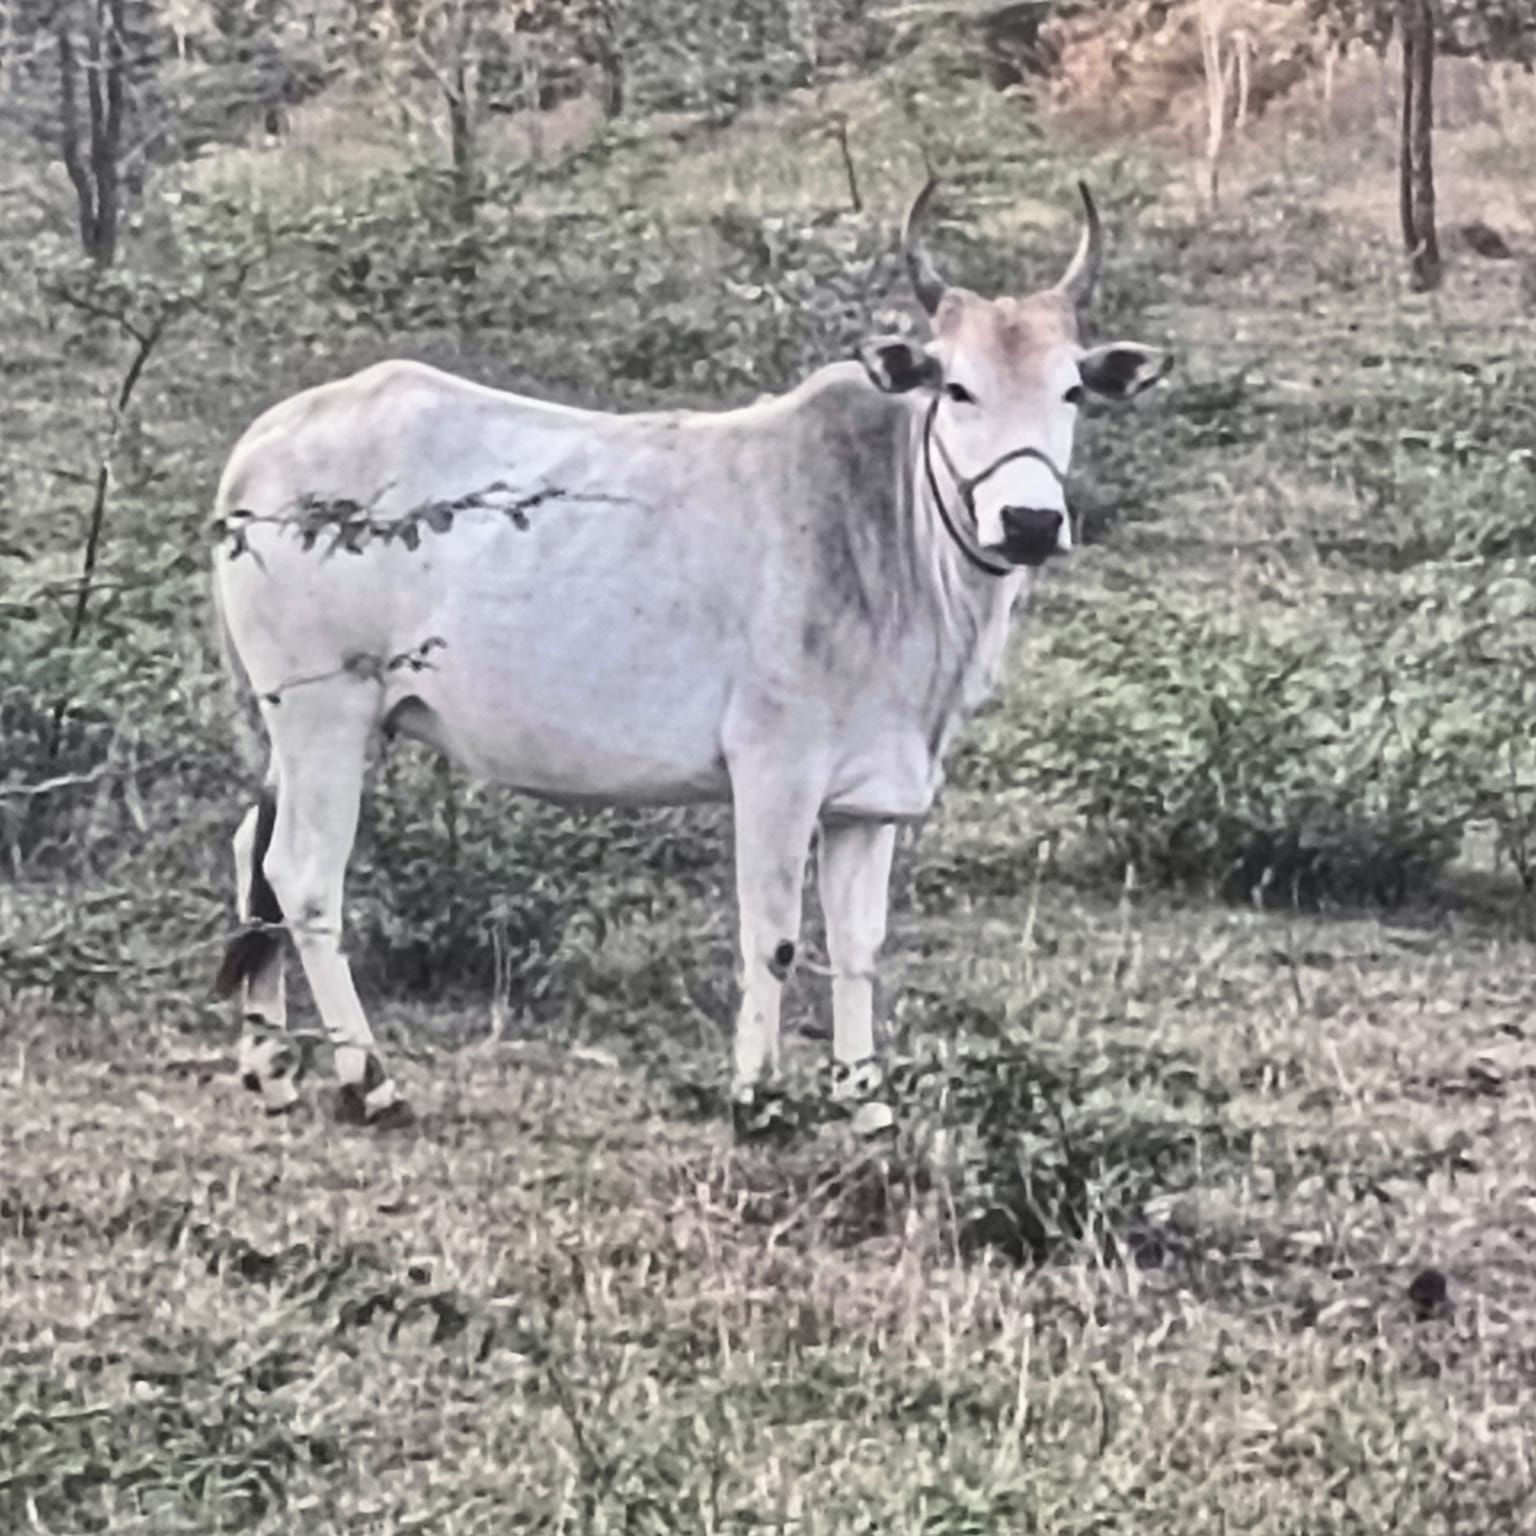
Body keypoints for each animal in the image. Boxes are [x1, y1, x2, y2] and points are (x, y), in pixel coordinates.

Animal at [210, 180, 1171, 1137]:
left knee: (254, 854)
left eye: (1073, 390)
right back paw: (370, 1078)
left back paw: (269, 1063)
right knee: (303, 876)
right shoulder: (776, 771)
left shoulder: (865, 804)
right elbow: (773, 933)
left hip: (293, 728)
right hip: (327, 713)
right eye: (959, 388)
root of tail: (259, 447)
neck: (891, 528)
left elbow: (858, 944)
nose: (1030, 522)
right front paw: (758, 1096)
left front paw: (864, 1098)